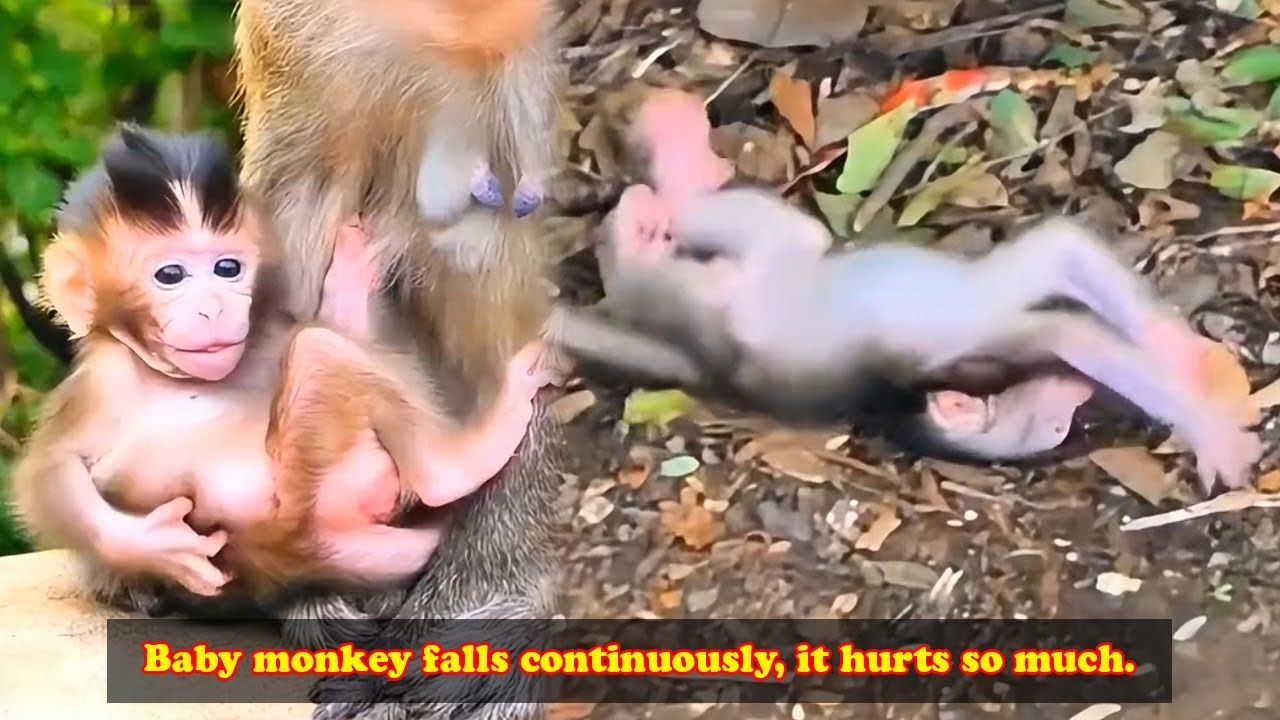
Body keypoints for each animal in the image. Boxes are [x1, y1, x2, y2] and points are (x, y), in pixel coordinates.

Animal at [8, 125, 550, 608]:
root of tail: (287, 558)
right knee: (318, 352)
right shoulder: (102, 381)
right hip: (309, 489)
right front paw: (159, 545)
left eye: (228, 268)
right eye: (171, 275)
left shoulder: (260, 334)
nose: (213, 309)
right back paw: (458, 465)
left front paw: (347, 280)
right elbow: (52, 471)